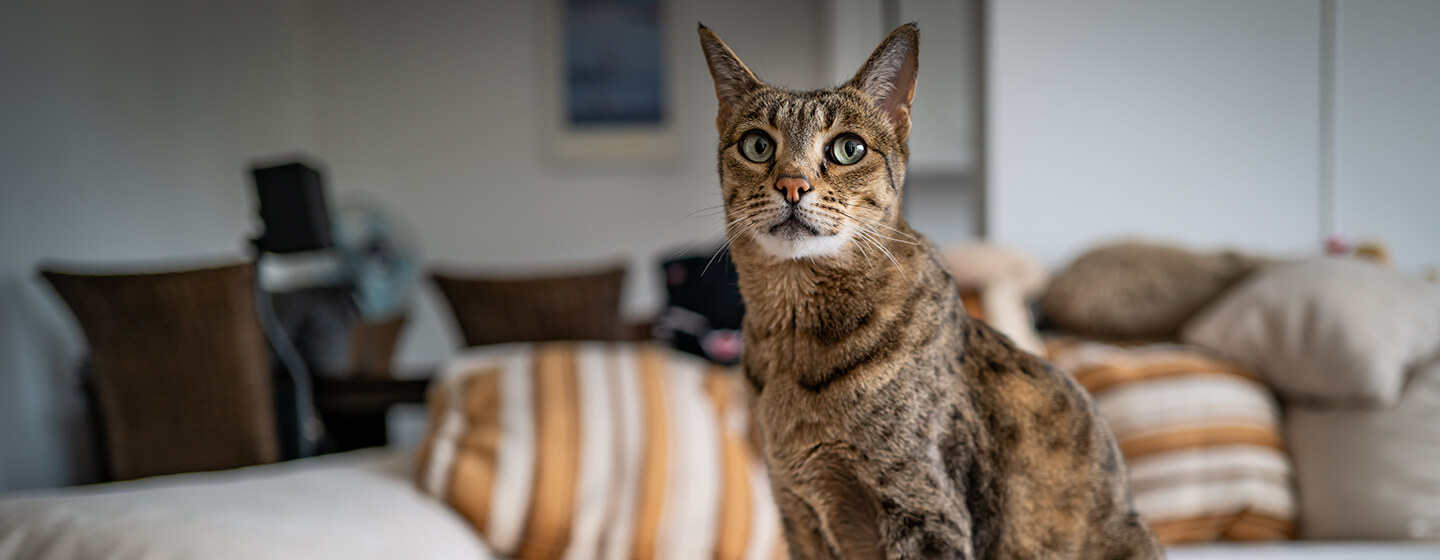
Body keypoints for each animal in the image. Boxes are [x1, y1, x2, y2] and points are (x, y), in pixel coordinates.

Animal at [699, 22, 1169, 558]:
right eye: (757, 145)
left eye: (848, 148)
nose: (792, 184)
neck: (795, 344)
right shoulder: (797, 513)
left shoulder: (924, 508)